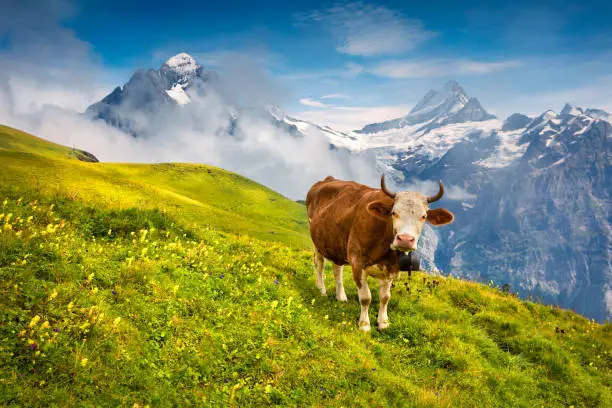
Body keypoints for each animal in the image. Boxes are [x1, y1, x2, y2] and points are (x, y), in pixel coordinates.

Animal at [306, 175, 454, 332]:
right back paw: (322, 290)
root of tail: (328, 179)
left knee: (337, 269)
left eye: (424, 216)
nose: (405, 239)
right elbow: (366, 297)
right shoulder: (357, 261)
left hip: (337, 244)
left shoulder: (391, 269)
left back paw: (341, 296)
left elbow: (385, 297)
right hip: (317, 242)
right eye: (394, 212)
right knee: (319, 265)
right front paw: (364, 325)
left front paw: (383, 322)